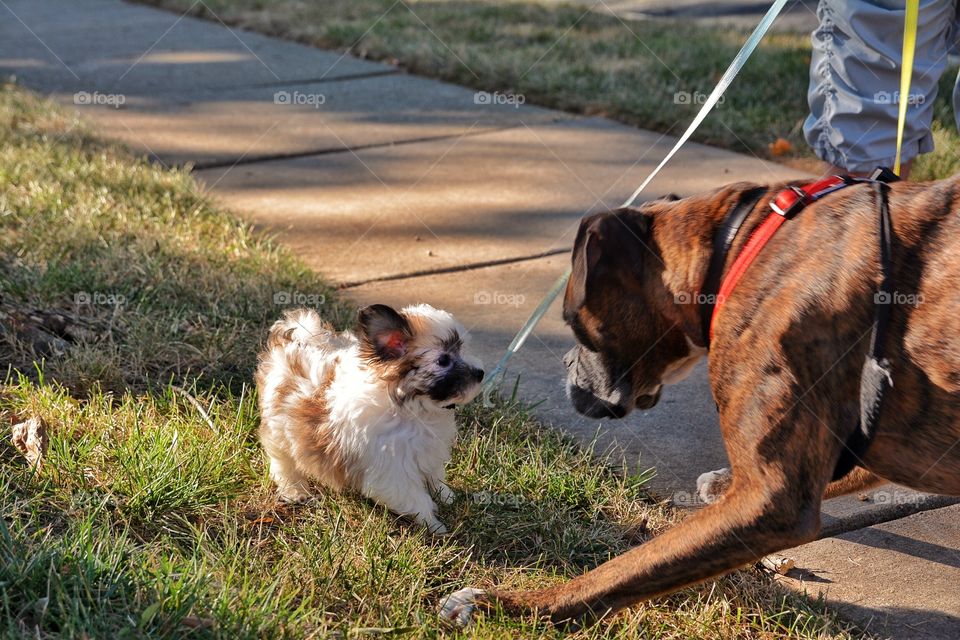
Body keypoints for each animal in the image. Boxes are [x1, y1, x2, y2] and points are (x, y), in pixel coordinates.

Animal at [255, 302, 484, 532]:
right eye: (443, 360)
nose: (480, 373)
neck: (413, 409)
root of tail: (292, 341)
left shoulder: (428, 451)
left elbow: (434, 474)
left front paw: (446, 495)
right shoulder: (392, 471)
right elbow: (416, 499)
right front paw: (434, 524)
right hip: (279, 429)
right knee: (283, 461)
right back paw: (295, 490)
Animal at [442, 178, 960, 624]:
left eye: (573, 322)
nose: (567, 363)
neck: (739, 250)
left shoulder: (772, 500)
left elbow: (629, 566)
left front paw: (514, 605)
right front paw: (720, 483)